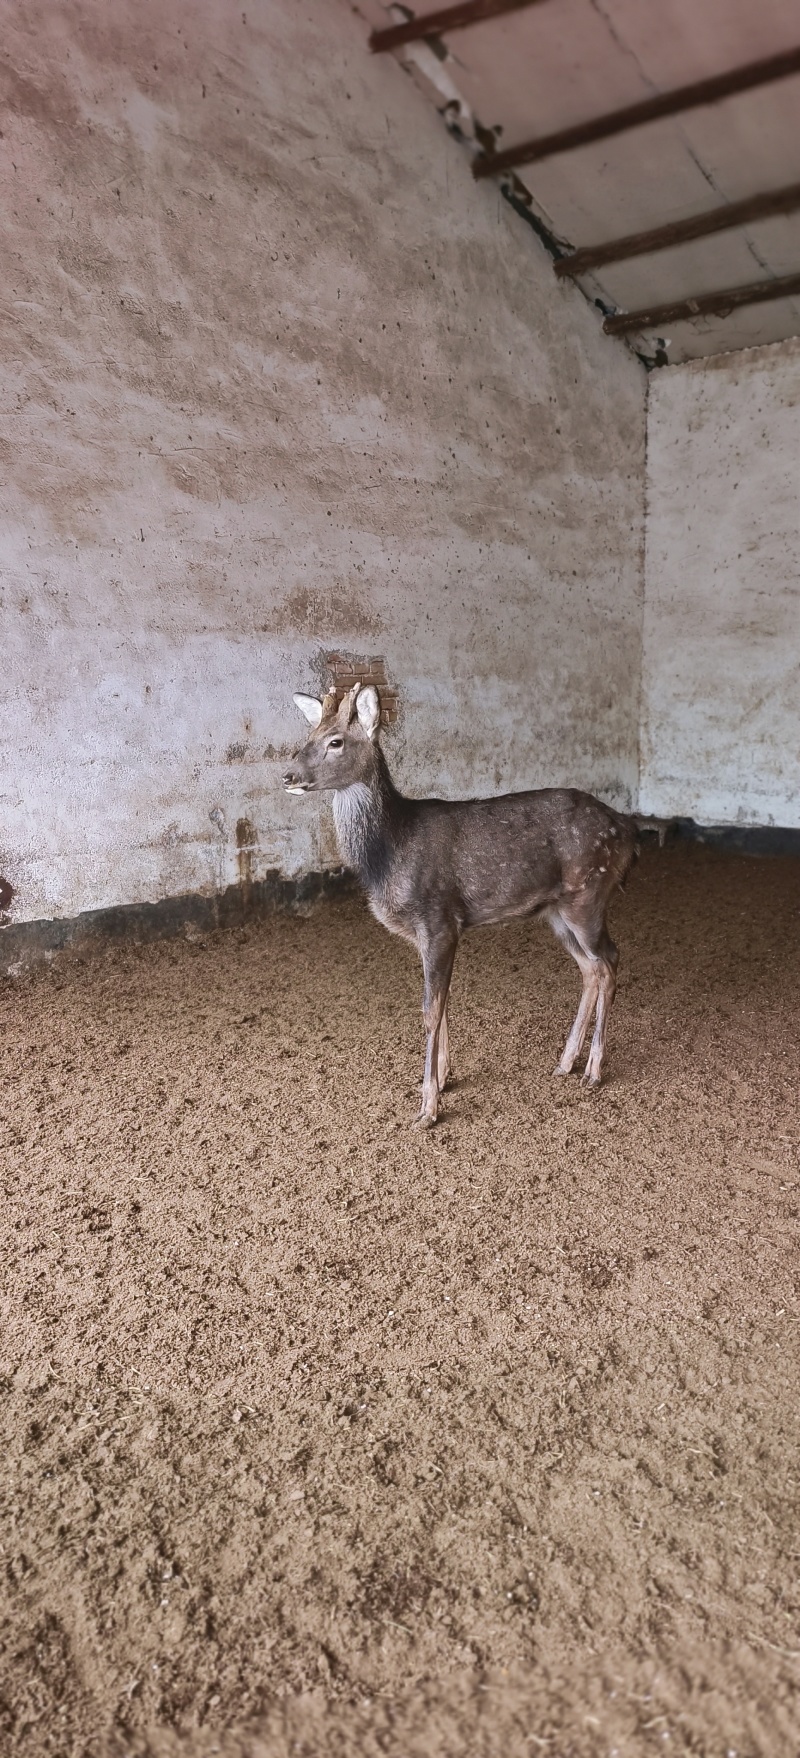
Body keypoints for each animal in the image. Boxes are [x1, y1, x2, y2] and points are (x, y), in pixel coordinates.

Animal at [283, 683, 638, 1127]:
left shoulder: (438, 919)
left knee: (610, 960)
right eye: (308, 736)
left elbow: (430, 1008)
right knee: (590, 968)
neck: (389, 855)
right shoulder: (428, 933)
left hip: (589, 894)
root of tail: (627, 832)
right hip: (556, 912)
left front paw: (428, 1107)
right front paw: (442, 1077)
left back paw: (593, 1069)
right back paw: (565, 1062)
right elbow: (443, 1000)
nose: (287, 775)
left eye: (336, 741)